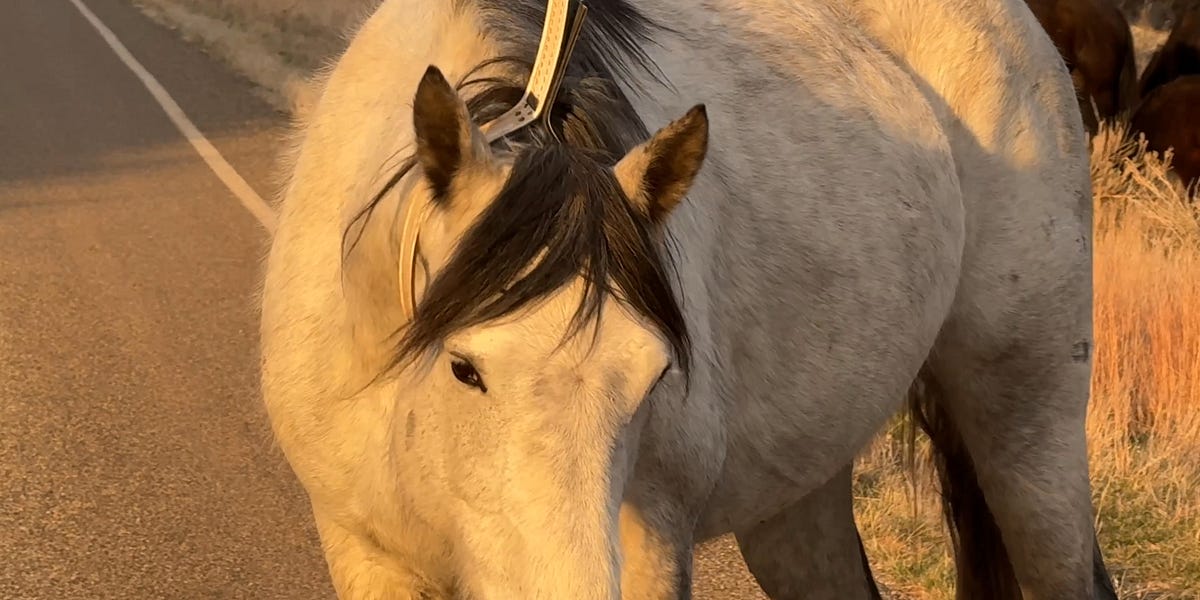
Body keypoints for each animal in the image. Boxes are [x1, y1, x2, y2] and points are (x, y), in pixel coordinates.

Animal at [260, 0, 1116, 597]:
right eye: (465, 369)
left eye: (652, 381)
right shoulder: (363, 552)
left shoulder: (653, 541)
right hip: (798, 494)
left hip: (1028, 424)